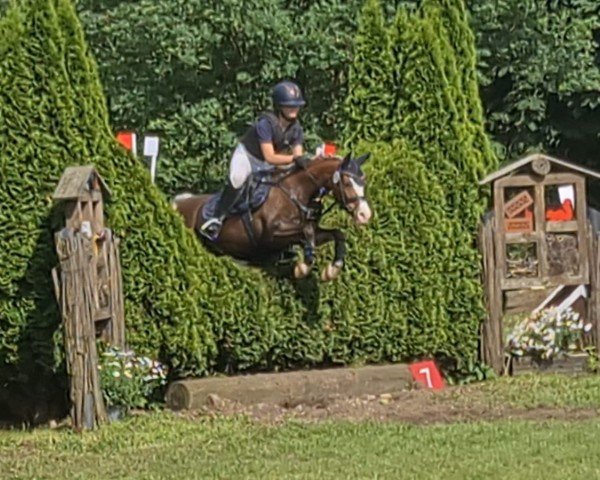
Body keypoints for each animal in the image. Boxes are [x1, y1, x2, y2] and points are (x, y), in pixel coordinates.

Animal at [171, 154, 372, 282]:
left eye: (363, 181)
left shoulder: (311, 231)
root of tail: (178, 203)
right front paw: (303, 268)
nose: (365, 214)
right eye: (347, 182)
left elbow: (337, 234)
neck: (297, 193)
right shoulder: (272, 235)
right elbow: (306, 232)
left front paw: (331, 270)